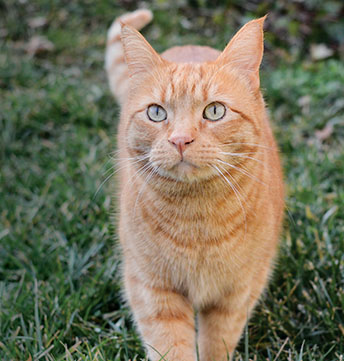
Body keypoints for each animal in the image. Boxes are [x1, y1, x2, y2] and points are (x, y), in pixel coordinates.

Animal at [105, 9, 284, 360]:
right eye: (156, 113)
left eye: (214, 111)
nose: (180, 140)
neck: (196, 221)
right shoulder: (152, 290)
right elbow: (171, 347)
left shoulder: (237, 293)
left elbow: (218, 343)